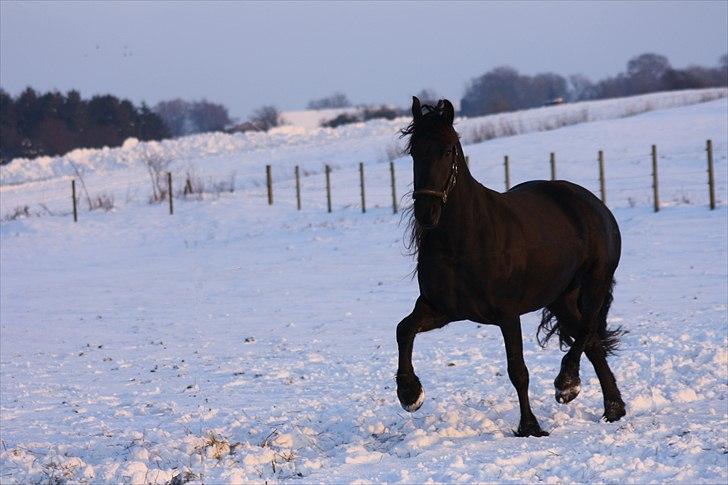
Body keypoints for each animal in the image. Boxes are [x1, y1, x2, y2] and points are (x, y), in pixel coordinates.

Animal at [396, 96, 624, 436]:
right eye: (413, 151)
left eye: (447, 151)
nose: (427, 212)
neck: (464, 241)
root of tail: (593, 203)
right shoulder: (441, 308)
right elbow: (404, 329)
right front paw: (410, 394)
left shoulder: (507, 313)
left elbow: (518, 369)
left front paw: (530, 426)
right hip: (561, 298)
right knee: (593, 342)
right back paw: (613, 408)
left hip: (594, 284)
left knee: (586, 332)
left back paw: (567, 384)